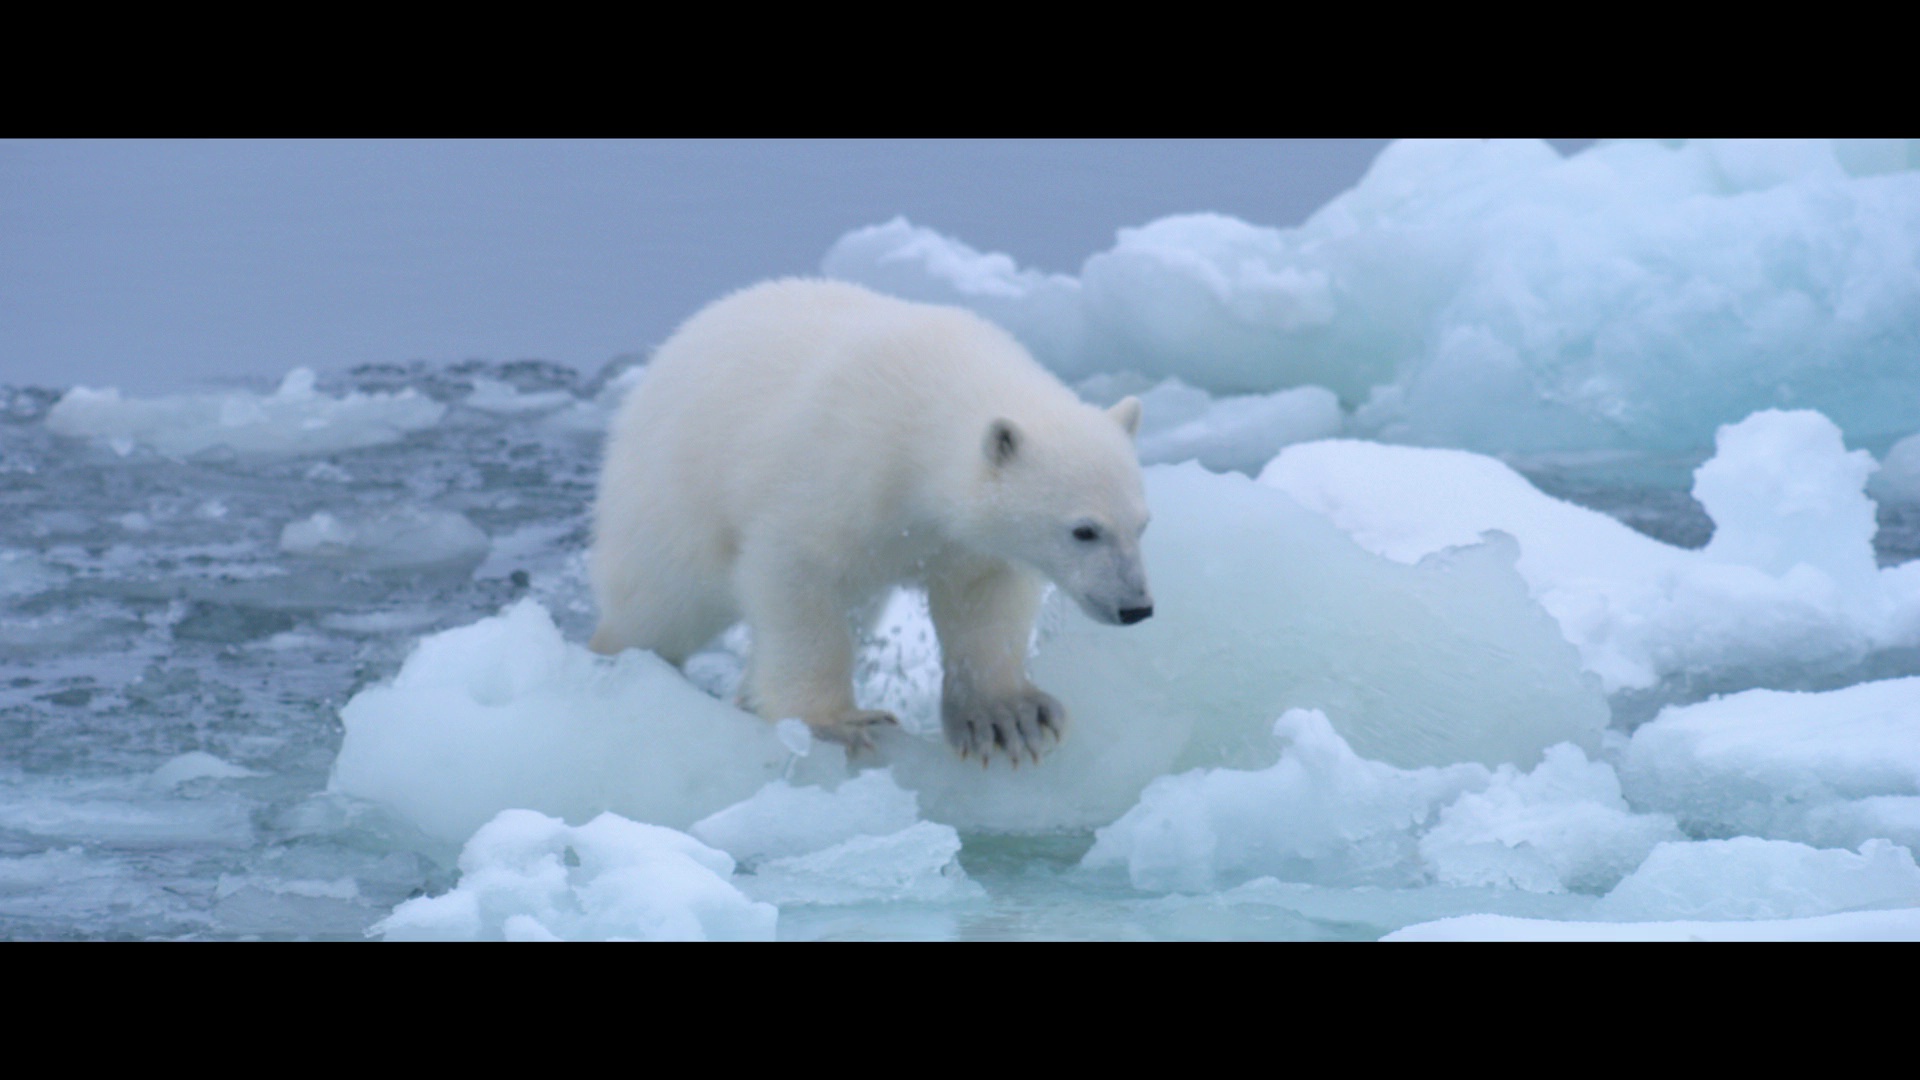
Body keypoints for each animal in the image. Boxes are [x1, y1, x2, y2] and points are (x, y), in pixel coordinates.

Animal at [589, 278, 1153, 765]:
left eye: (1142, 524)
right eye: (1084, 530)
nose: (1136, 607)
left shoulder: (964, 540)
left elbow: (982, 599)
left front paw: (1007, 717)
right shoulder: (836, 470)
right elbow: (794, 578)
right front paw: (837, 723)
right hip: (670, 496)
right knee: (660, 603)